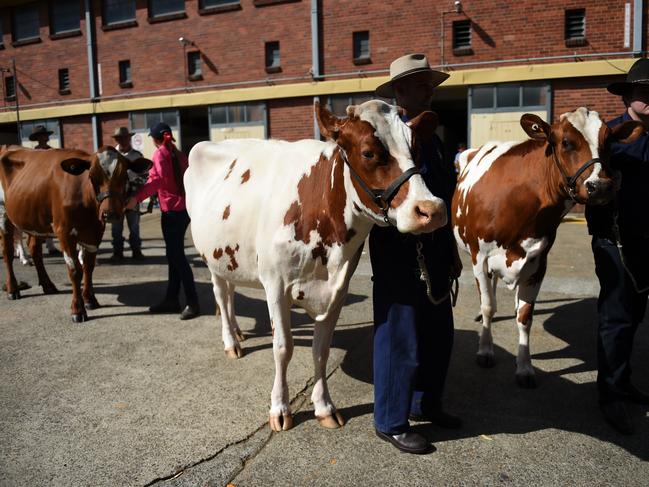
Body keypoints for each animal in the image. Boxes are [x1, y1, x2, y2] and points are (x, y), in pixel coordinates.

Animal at [185, 99, 442, 430]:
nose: (431, 210)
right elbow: (283, 348)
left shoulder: (338, 289)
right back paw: (231, 341)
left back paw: (239, 334)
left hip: (229, 257)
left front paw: (323, 406)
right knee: (220, 294)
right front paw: (280, 408)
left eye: (417, 149)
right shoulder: (275, 285)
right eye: (368, 153)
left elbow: (321, 351)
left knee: (229, 294)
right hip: (210, 256)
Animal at [450, 107, 644, 388]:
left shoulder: (537, 263)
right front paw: (485, 350)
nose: (601, 187)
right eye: (565, 142)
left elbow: (525, 317)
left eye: (609, 142)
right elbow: (488, 306)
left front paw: (524, 368)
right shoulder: (479, 257)